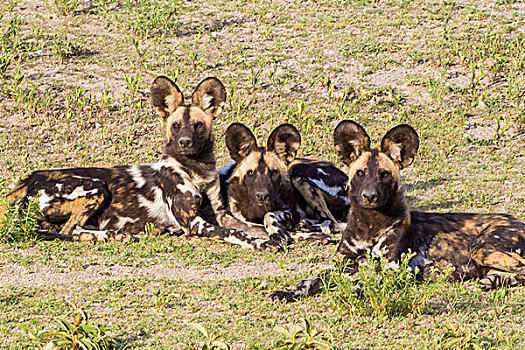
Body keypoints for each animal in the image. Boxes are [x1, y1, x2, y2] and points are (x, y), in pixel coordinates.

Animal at [4, 76, 280, 250]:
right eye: (176, 126)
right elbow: (237, 233)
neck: (196, 171)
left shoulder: (221, 215)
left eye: (198, 125)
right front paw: (262, 243)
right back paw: (113, 235)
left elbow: (250, 226)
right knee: (69, 231)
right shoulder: (195, 223)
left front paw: (280, 235)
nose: (185, 143)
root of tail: (27, 181)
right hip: (95, 186)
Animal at [219, 123, 350, 246]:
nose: (262, 196)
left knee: (331, 221)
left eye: (274, 172)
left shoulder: (288, 212)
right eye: (250, 173)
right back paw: (304, 224)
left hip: (297, 170)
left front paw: (276, 232)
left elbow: (268, 214)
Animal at [270, 119, 524, 300]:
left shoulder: (391, 266)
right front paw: (289, 291)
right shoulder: (341, 262)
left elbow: (368, 281)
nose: (369, 196)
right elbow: (310, 279)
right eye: (360, 173)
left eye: (384, 174)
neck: (370, 225)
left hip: (483, 248)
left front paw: (357, 290)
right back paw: (493, 280)